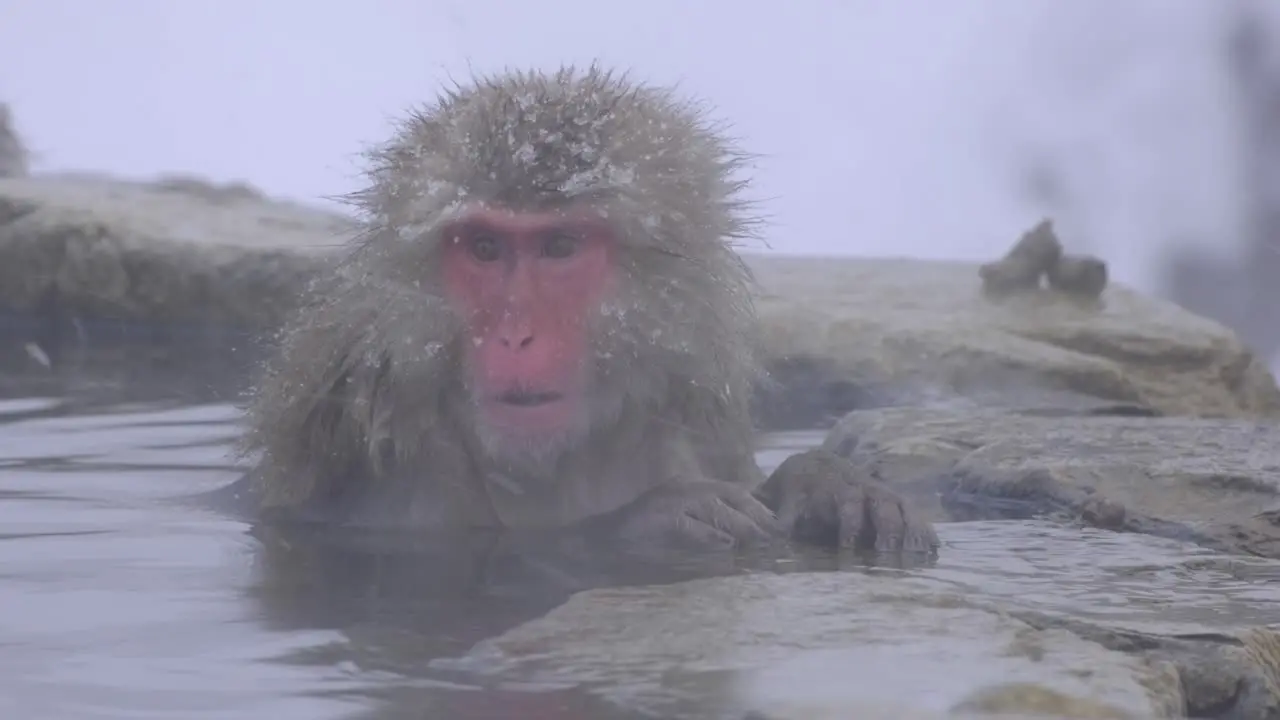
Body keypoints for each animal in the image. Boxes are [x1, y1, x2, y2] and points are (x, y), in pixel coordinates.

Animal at [225, 64, 936, 550]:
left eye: (560, 246)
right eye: (485, 247)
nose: (515, 337)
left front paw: (823, 482)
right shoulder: (398, 474)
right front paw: (658, 517)